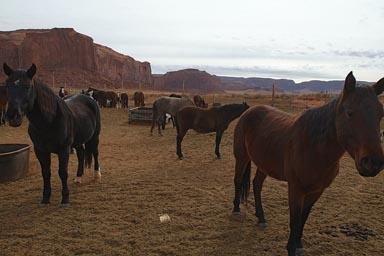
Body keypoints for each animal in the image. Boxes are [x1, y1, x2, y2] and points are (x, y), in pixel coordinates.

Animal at [3, 63, 102, 207]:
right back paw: (78, 177)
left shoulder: (64, 150)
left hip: (95, 137)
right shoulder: (40, 150)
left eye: (28, 87)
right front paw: (45, 199)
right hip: (77, 141)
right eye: (7, 86)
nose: (12, 116)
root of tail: (89, 98)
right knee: (82, 154)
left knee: (95, 152)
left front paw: (65, 199)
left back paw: (97, 175)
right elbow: (46, 173)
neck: (49, 120)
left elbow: (62, 173)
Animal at [231, 72, 384, 256]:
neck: (315, 148)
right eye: (350, 112)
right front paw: (291, 248)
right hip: (242, 157)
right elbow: (294, 221)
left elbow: (303, 219)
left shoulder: (316, 191)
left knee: (256, 184)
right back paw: (236, 209)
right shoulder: (296, 189)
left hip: (264, 163)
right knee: (238, 180)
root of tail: (249, 111)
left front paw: (298, 245)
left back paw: (261, 218)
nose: (373, 162)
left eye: (381, 114)